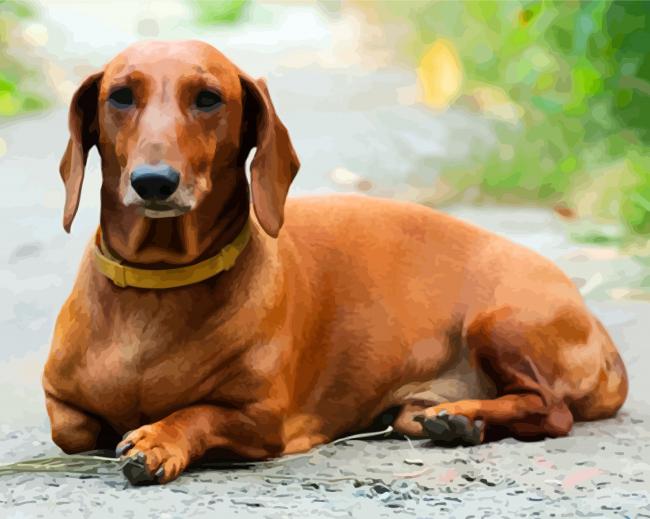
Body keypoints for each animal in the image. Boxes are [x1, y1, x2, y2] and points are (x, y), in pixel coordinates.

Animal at [43, 39, 624, 484]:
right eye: (121, 96)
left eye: (208, 99)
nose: (154, 182)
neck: (159, 287)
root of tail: (600, 334)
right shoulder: (59, 403)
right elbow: (71, 429)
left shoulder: (263, 419)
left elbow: (198, 412)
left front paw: (160, 438)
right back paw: (459, 421)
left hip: (499, 321)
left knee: (551, 409)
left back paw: (462, 417)